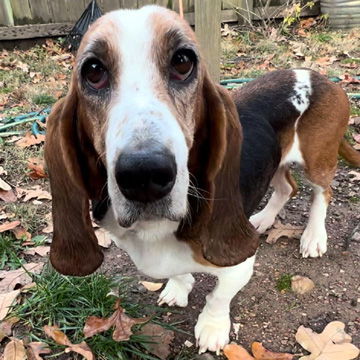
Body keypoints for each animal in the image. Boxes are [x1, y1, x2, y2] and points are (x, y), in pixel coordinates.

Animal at [45, 4, 360, 354]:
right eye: (93, 71)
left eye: (183, 62)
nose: (144, 174)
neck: (155, 230)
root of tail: (321, 78)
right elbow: (181, 273)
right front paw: (178, 288)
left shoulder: (239, 265)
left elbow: (218, 296)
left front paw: (212, 328)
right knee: (286, 188)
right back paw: (263, 219)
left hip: (318, 159)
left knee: (322, 193)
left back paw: (313, 238)